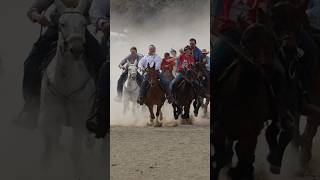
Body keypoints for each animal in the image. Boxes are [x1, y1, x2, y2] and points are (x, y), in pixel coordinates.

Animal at [37, 0, 95, 175]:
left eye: (83, 24)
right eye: (62, 24)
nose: (76, 49)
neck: (65, 86)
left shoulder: (78, 121)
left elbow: (75, 152)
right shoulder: (50, 120)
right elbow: (49, 152)